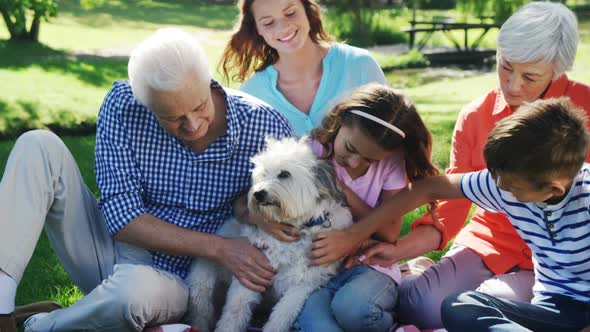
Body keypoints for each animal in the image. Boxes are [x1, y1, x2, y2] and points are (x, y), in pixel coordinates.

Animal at [186, 136, 352, 330]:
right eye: (263, 174)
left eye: (284, 174)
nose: (258, 194)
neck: (299, 228)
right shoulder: (251, 274)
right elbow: (234, 314)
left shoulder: (302, 285)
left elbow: (281, 316)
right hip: (202, 283)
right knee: (201, 310)